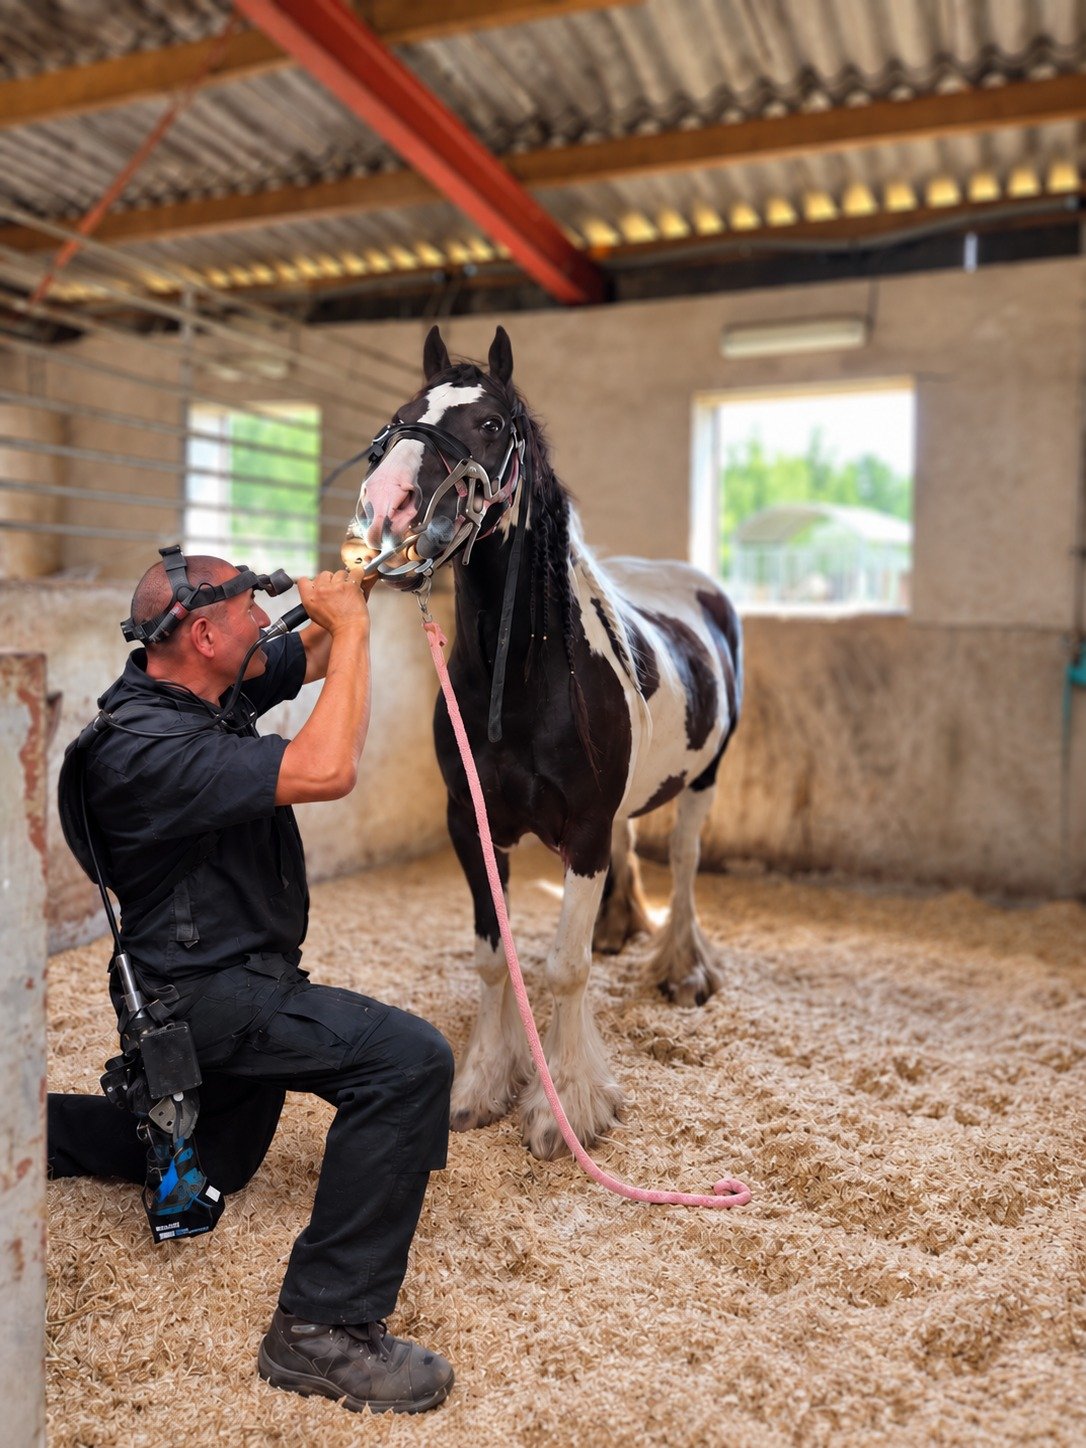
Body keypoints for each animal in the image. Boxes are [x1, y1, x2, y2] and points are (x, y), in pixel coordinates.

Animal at [340, 326, 742, 1160]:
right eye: (402, 416)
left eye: (492, 424)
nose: (386, 507)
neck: (525, 679)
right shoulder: (473, 826)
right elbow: (496, 957)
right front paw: (482, 1084)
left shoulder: (582, 833)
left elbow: (564, 966)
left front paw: (569, 1107)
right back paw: (626, 930)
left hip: (705, 779)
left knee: (686, 862)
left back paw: (683, 968)